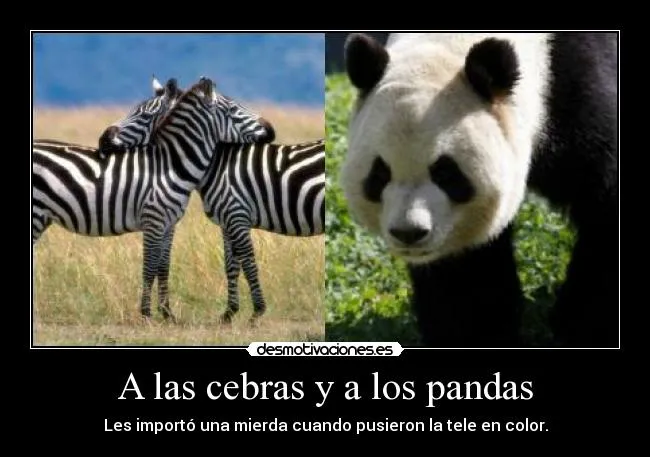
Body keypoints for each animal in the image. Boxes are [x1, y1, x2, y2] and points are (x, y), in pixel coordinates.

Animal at [340, 32, 618, 348]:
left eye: (446, 173)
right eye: (380, 174)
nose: (408, 233)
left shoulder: (579, 91)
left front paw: (581, 326)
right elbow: (465, 279)